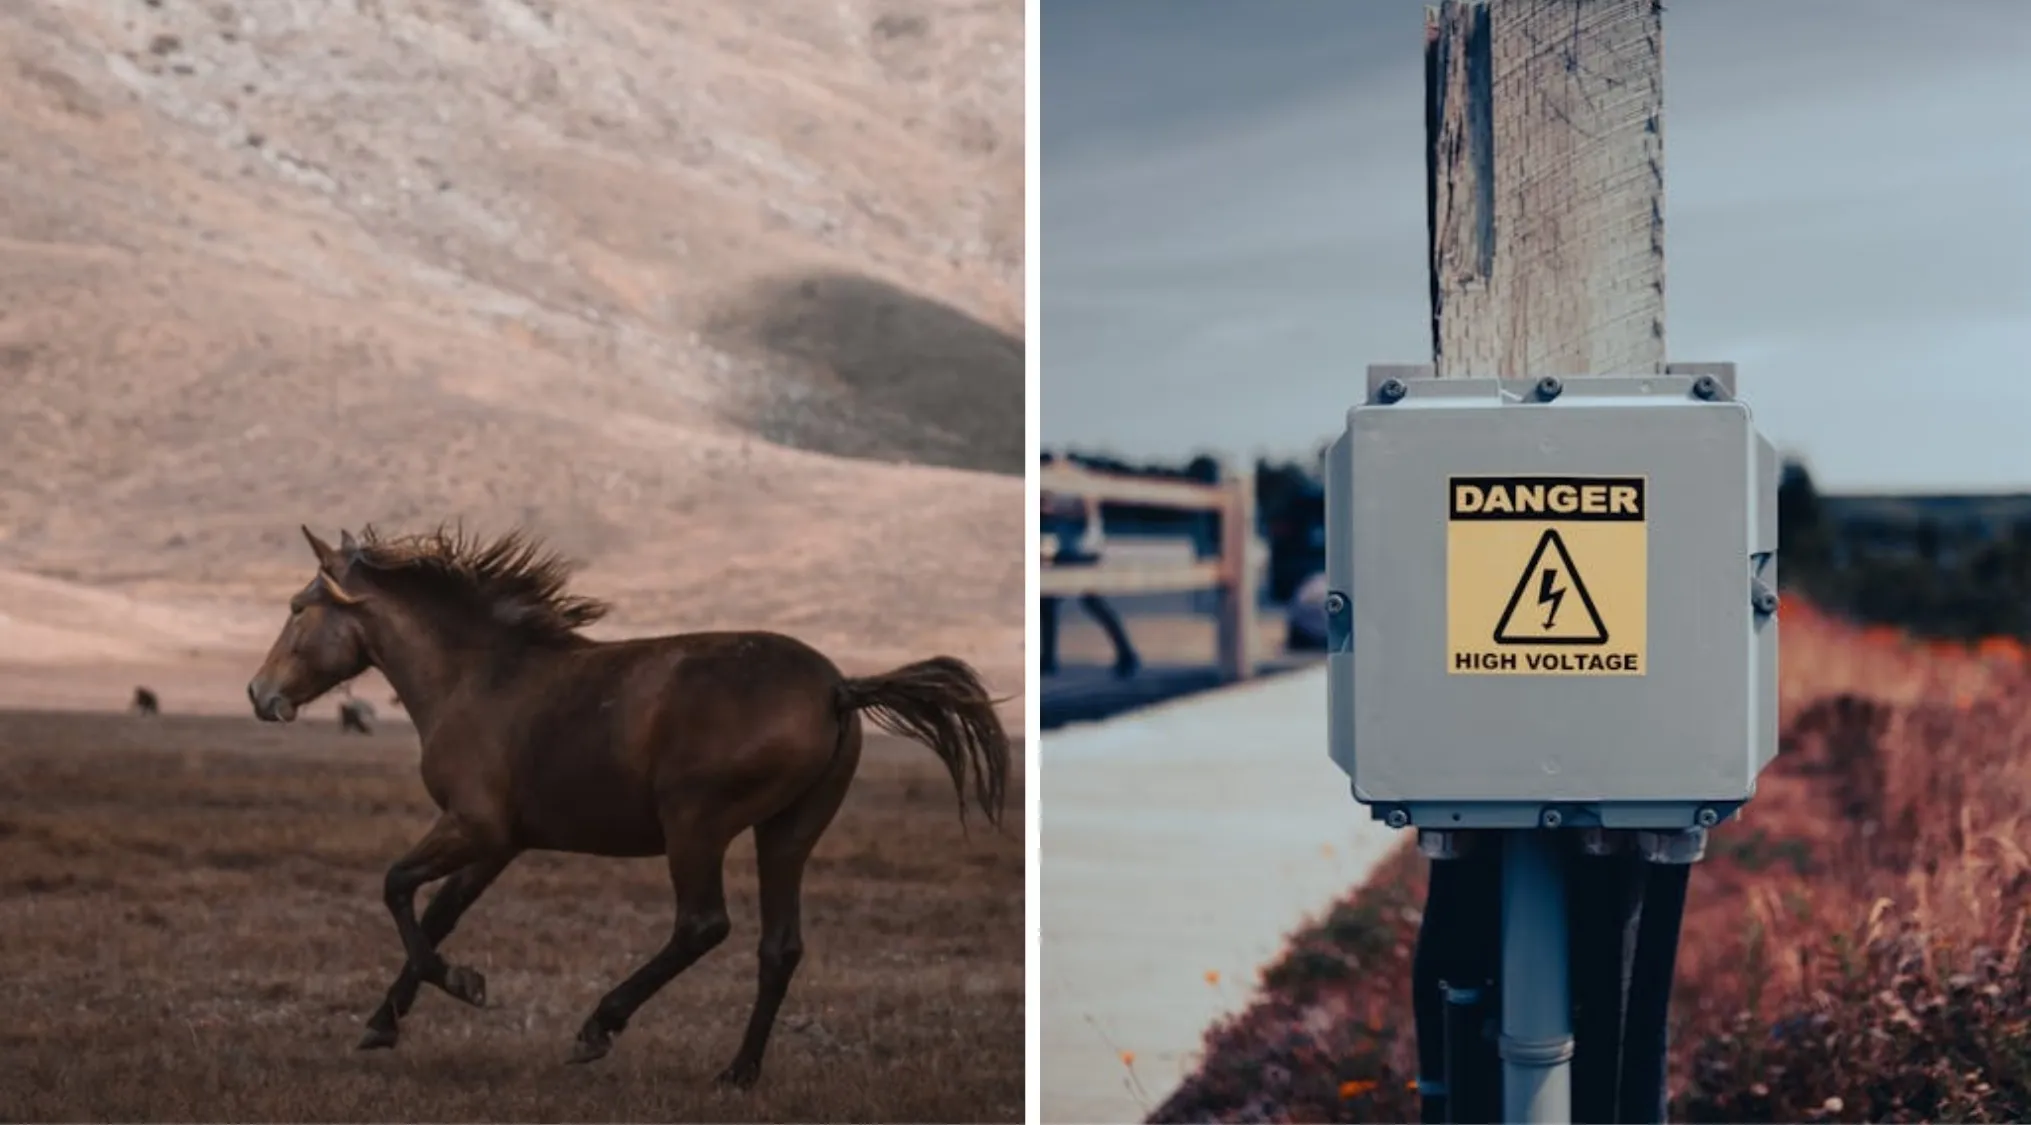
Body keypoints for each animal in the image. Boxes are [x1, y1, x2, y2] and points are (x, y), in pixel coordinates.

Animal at [245, 524, 1011, 1087]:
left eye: (297, 608)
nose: (258, 694)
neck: (477, 676)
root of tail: (838, 688)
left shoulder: (473, 824)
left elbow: (398, 886)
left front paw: (462, 983)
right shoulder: (500, 839)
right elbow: (440, 910)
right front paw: (383, 1021)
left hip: (696, 824)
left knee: (702, 925)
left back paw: (599, 1026)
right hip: (787, 831)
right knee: (779, 946)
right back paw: (737, 1072)